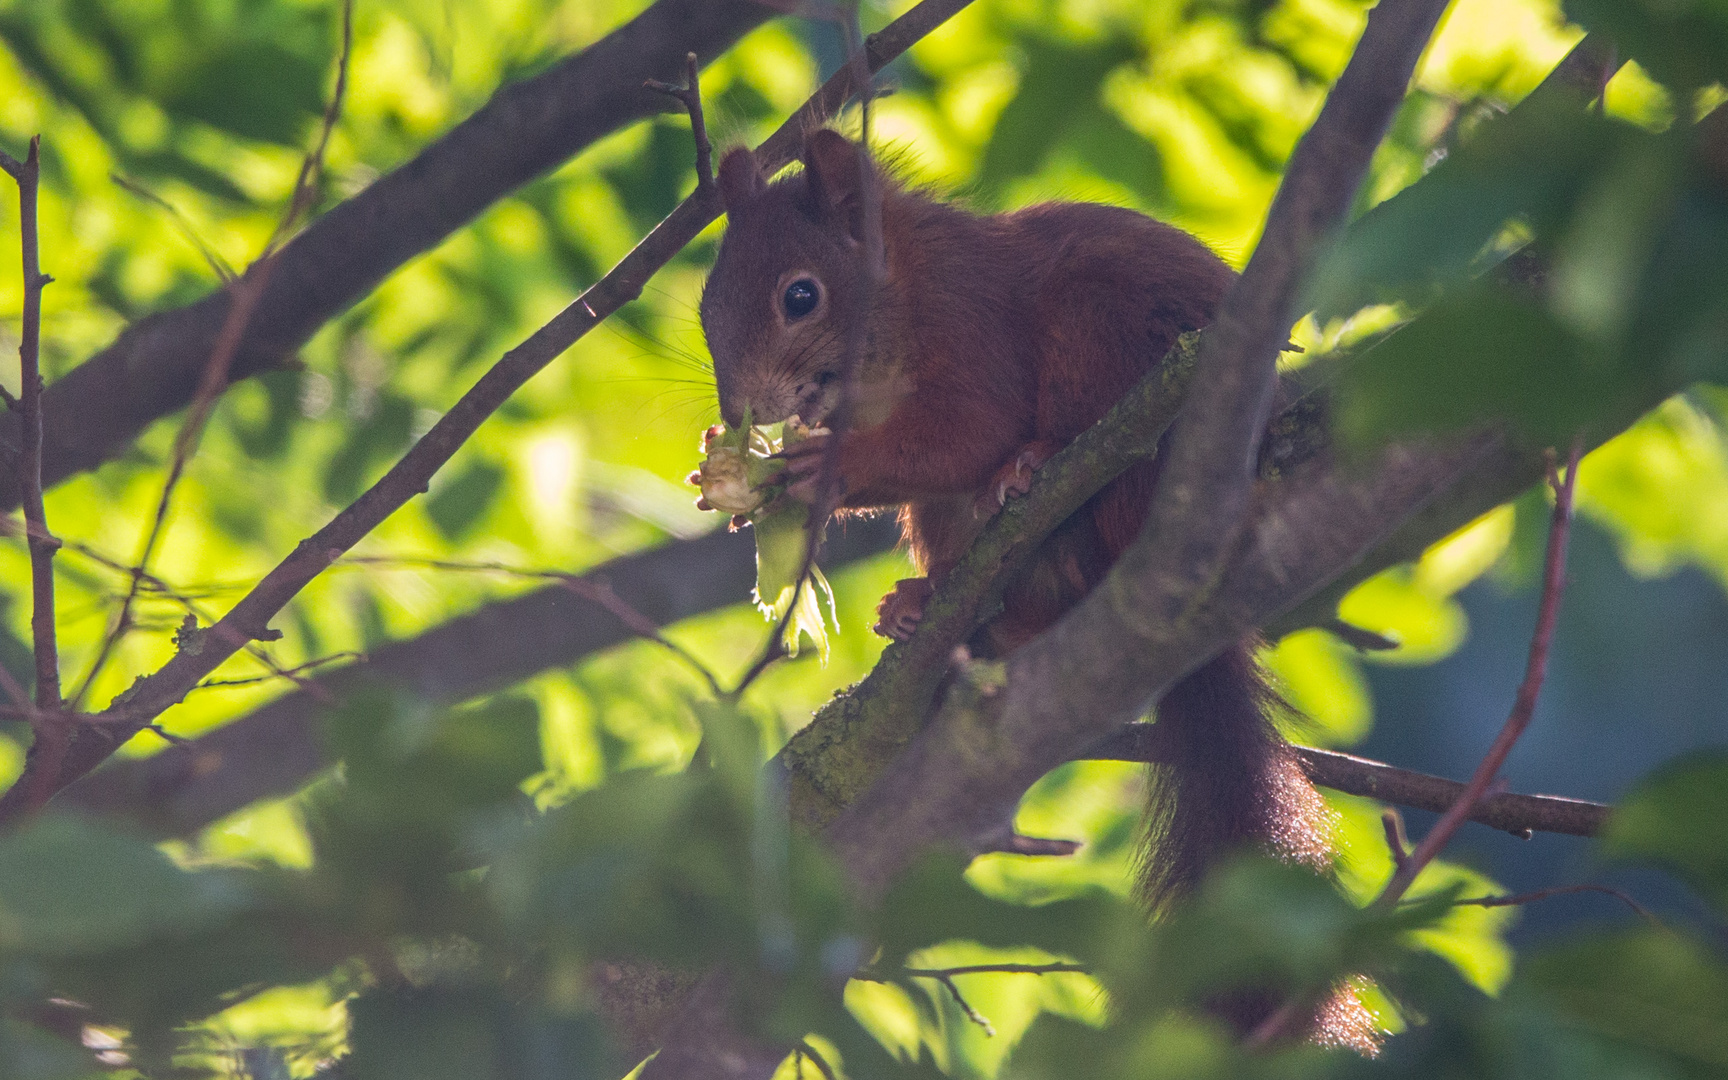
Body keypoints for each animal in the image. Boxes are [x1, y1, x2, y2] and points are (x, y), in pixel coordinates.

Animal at [701, 130, 1375, 1043]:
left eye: (800, 296)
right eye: (708, 304)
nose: (742, 407)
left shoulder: (974, 327)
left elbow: (968, 429)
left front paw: (808, 472)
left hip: (1112, 345)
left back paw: (1033, 468)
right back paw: (932, 606)